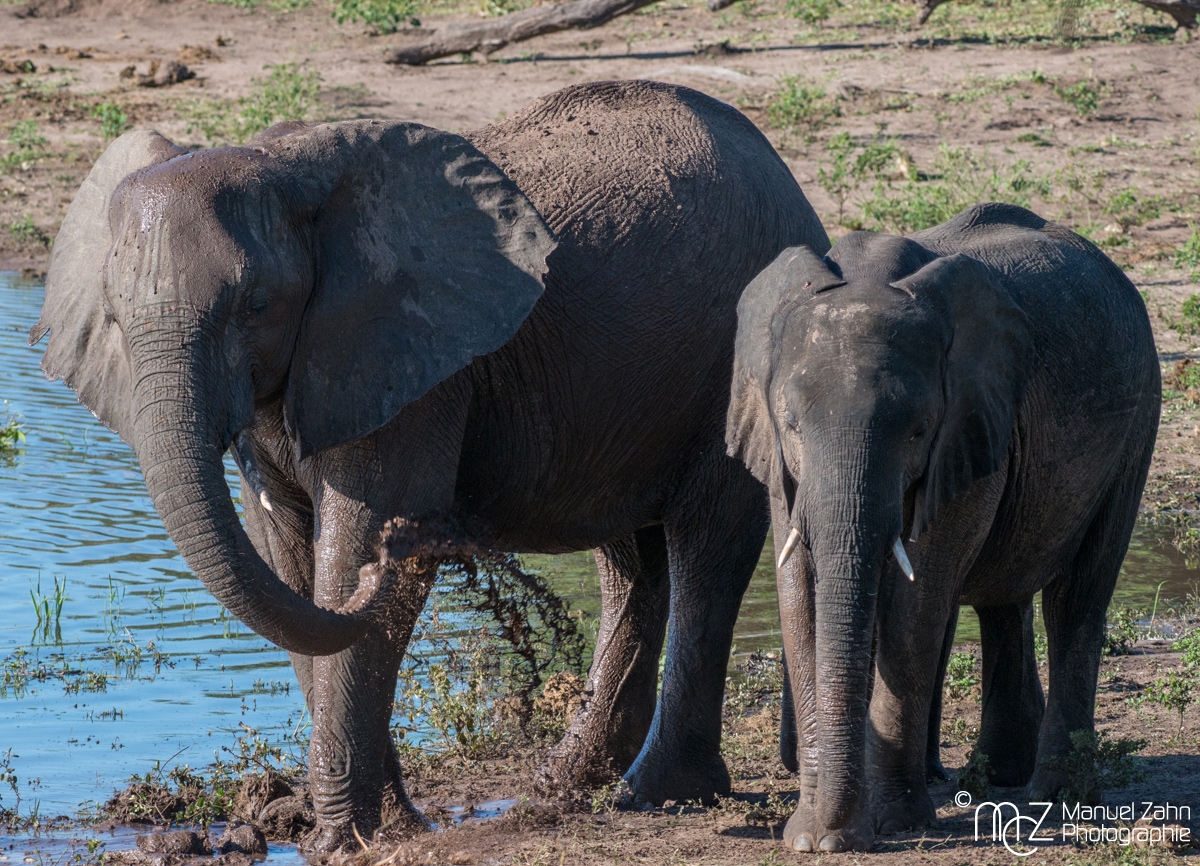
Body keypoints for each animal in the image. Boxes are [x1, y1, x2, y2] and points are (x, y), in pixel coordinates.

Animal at [32, 80, 830, 851]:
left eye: (256, 304)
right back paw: (565, 787)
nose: (414, 547)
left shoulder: (410, 363)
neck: (286, 169)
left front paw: (342, 838)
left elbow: (346, 546)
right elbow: (287, 563)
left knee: (707, 546)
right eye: (113, 317)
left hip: (735, 359)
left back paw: (656, 792)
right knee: (629, 559)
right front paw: (380, 825)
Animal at [726, 202, 1160, 853]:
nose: (834, 836)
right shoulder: (779, 461)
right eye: (793, 423)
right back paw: (998, 776)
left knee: (1077, 599)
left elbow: (918, 601)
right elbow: (799, 592)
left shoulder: (968, 426)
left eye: (918, 429)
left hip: (1136, 427)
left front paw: (892, 827)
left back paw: (1057, 798)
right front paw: (810, 837)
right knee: (1004, 601)